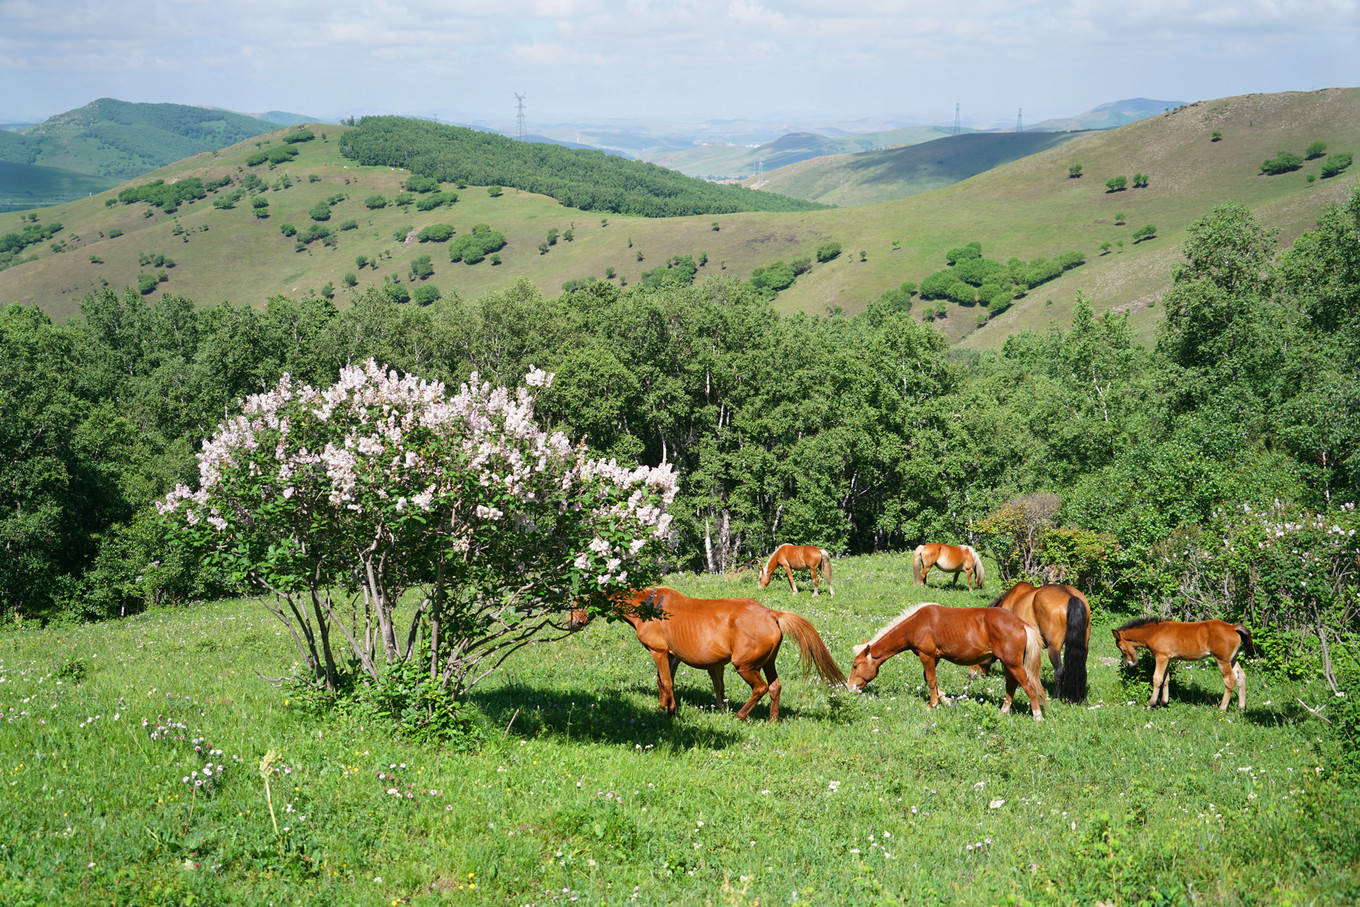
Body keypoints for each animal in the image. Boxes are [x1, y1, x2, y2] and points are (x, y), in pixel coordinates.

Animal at [568, 590, 843, 723]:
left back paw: (740, 716)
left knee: (761, 688)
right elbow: (663, 682)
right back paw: (773, 720)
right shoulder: (672, 656)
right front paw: (663, 707)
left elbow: (665, 682)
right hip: (768, 663)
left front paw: (670, 711)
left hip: (745, 666)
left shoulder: (659, 652)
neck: (649, 606)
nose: (572, 623)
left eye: (582, 599)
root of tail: (772, 614)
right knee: (775, 687)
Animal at [843, 603, 1044, 723]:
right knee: (1011, 685)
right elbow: (930, 680)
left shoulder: (927, 656)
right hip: (1008, 664)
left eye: (855, 665)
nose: (850, 687)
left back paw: (1037, 716)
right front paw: (946, 700)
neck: (916, 624)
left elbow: (931, 680)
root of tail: (1021, 624)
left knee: (1027, 686)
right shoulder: (935, 657)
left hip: (1013, 664)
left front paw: (932, 705)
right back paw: (1003, 711)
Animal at [1109, 617, 1256, 707]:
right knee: (1241, 676)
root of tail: (1233, 627)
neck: (1154, 632)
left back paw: (1222, 708)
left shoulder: (1161, 657)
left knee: (1230, 679)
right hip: (1232, 659)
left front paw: (1151, 703)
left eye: (1121, 647)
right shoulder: (1168, 658)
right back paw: (1241, 707)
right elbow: (1166, 679)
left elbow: (1157, 678)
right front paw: (1164, 702)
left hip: (1222, 659)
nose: (1130, 664)